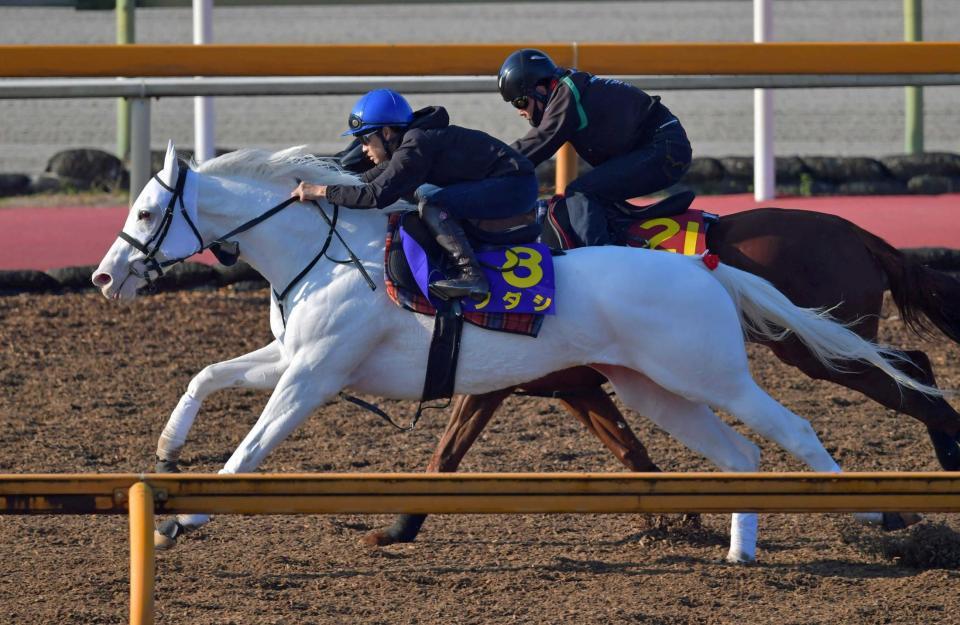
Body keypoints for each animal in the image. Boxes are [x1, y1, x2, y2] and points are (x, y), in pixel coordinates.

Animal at [366, 207, 960, 544]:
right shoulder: (575, 384)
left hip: (809, 346)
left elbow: (447, 451)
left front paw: (397, 526)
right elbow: (627, 447)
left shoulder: (506, 380)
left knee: (908, 379)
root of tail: (856, 232)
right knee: (912, 364)